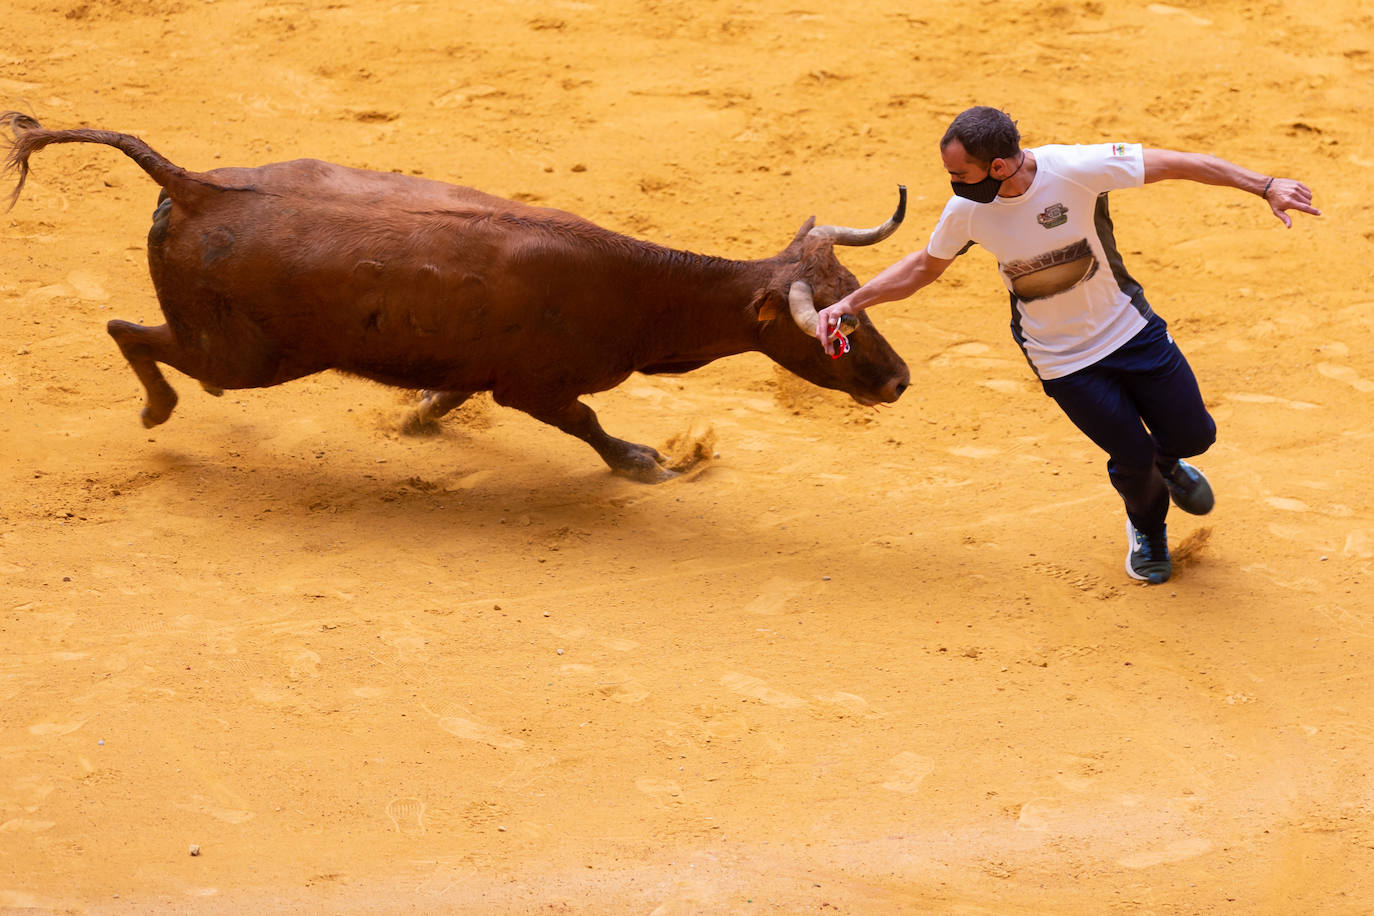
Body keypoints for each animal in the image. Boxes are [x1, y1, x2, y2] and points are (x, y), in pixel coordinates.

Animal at [2, 114, 912, 483]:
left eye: (862, 302)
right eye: (837, 329)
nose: (899, 381)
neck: (640, 289)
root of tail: (193, 185)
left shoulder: (480, 366)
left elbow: (450, 391)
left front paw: (416, 418)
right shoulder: (537, 387)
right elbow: (587, 423)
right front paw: (643, 461)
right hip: (247, 355)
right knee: (129, 329)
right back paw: (159, 410)